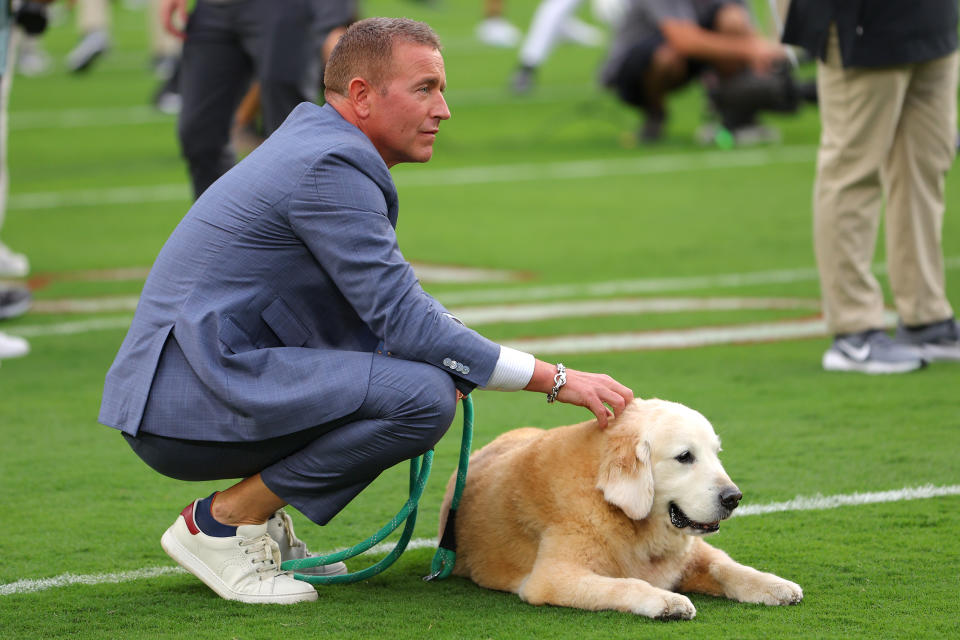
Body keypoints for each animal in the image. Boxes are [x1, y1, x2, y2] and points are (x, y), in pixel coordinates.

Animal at [440, 398, 804, 616]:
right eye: (685, 456)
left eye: (716, 453)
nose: (734, 497)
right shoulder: (553, 577)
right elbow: (627, 583)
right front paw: (666, 600)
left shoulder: (694, 554)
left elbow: (726, 567)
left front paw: (773, 585)